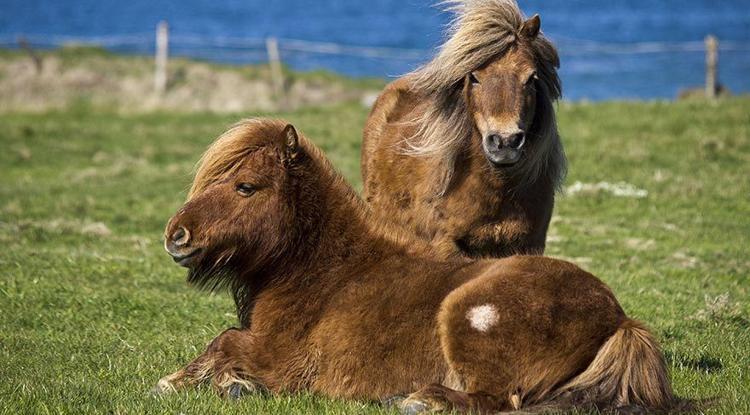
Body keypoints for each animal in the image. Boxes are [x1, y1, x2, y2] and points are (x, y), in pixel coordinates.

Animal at [154, 118, 680, 414]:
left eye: (245, 186)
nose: (176, 235)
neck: (326, 273)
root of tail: (618, 317)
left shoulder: (285, 361)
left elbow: (226, 342)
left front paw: (196, 384)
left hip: (467, 317)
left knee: (493, 401)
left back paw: (420, 400)